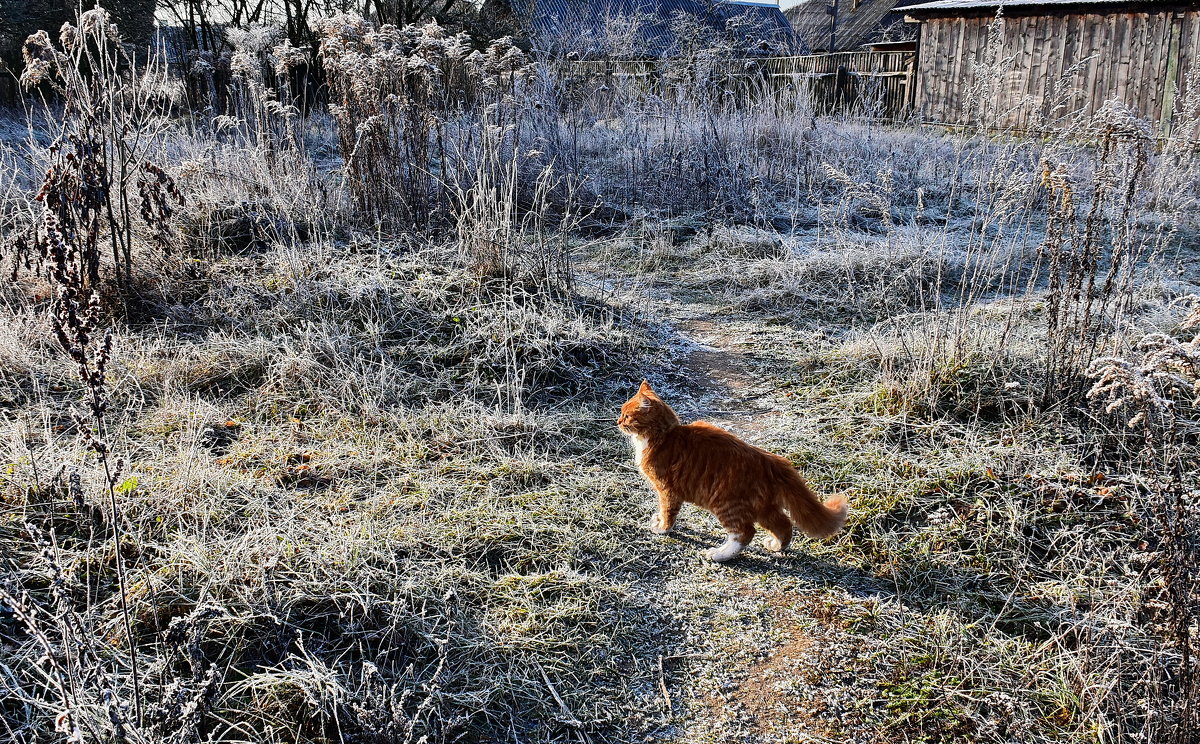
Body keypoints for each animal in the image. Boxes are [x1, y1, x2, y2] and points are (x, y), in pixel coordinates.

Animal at [614, 381, 849, 561]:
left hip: (727, 504)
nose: (617, 421)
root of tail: (772, 461)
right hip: (764, 508)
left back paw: (719, 555)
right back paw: (776, 546)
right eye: (621, 412)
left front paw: (662, 528)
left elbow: (667, 513)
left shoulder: (667, 491)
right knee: (784, 525)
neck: (664, 436)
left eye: (626, 416)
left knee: (744, 533)